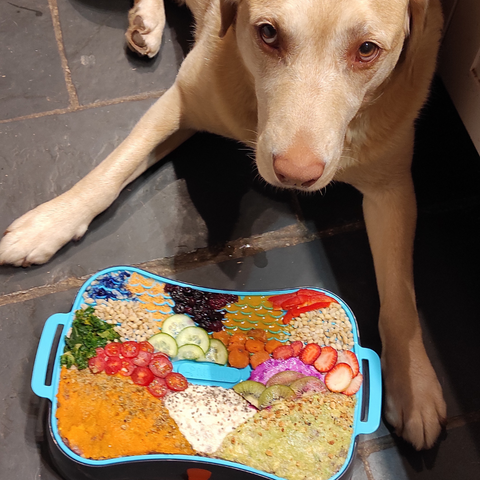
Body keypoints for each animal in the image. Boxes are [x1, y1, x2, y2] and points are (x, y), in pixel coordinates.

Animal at [0, 0, 446, 450]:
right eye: (268, 33)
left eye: (367, 49)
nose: (296, 175)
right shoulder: (178, 103)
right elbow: (112, 169)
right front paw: (50, 222)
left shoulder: (392, 187)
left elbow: (400, 299)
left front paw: (415, 386)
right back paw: (147, 21)